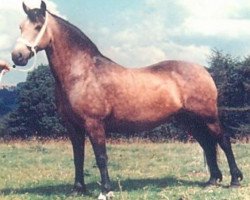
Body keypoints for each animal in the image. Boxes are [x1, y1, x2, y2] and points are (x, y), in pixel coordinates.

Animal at [11, 1, 242, 198]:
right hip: (189, 121)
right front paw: (77, 189)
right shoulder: (73, 126)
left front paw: (106, 190)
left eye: (38, 26)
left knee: (223, 140)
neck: (82, 73)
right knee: (207, 144)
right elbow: (78, 157)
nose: (17, 56)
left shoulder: (94, 124)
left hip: (208, 116)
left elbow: (101, 157)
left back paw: (234, 180)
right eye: (20, 27)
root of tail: (204, 70)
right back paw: (212, 180)